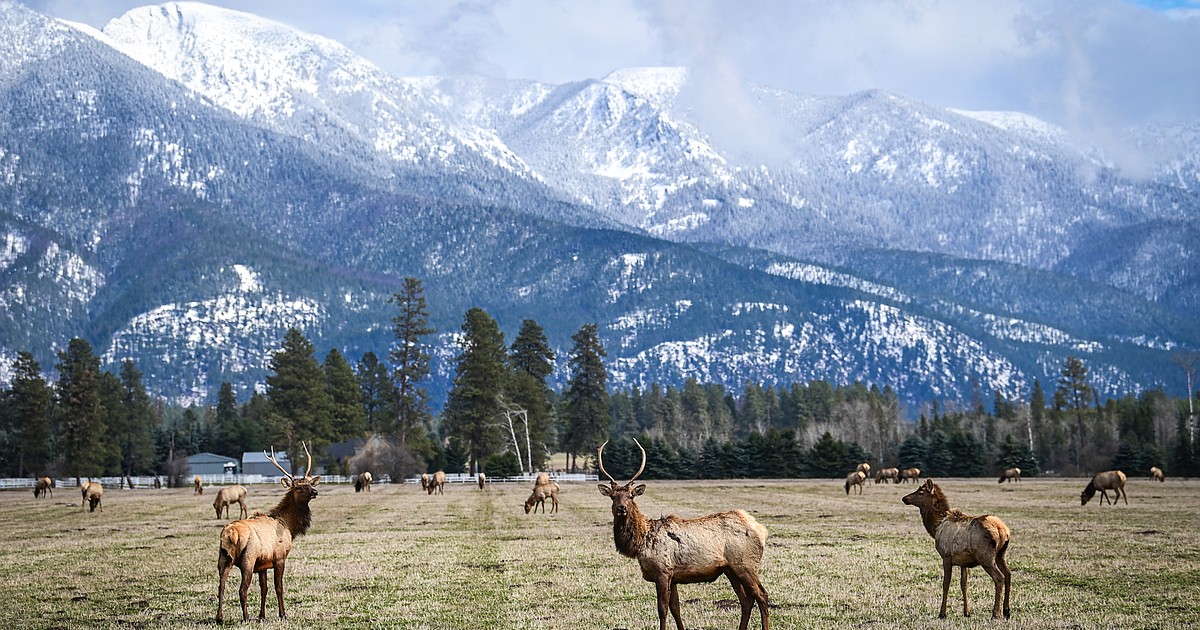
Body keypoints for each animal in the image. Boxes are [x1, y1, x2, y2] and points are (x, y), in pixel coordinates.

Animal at [216, 443, 320, 623]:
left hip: (223, 558)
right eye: (298, 487)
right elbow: (278, 587)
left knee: (221, 586)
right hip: (248, 559)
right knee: (242, 589)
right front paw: (283, 614)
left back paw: (219, 617)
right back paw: (246, 618)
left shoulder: (262, 564)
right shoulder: (279, 558)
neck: (288, 526)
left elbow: (264, 589)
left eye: (309, 482)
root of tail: (230, 533)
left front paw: (262, 616)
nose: (314, 491)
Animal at [597, 439, 770, 630]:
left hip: (745, 564)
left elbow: (662, 610)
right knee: (746, 600)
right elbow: (676, 609)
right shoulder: (673, 577)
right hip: (730, 569)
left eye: (630, 496)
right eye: (613, 496)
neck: (641, 542)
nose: (621, 508)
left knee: (762, 595)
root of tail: (761, 529)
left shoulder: (663, 571)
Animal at [903, 478, 1012, 619]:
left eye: (920, 492)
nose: (904, 498)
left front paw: (942, 613)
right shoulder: (963, 562)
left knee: (999, 577)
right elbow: (964, 584)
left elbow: (946, 584)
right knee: (1008, 573)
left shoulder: (946, 556)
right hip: (1001, 554)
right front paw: (967, 612)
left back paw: (995, 613)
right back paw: (1006, 610)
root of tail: (1003, 530)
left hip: (985, 556)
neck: (935, 526)